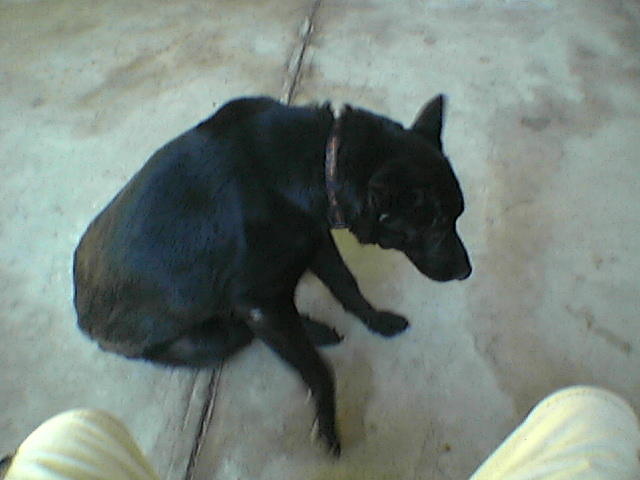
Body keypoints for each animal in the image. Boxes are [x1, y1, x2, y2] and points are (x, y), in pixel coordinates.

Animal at [73, 95, 471, 456]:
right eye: (437, 227)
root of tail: (84, 323)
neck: (319, 163)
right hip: (215, 336)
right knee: (246, 328)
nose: (467, 272)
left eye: (456, 217)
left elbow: (346, 284)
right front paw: (327, 423)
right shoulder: (260, 302)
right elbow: (318, 370)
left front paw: (376, 320)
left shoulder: (317, 241)